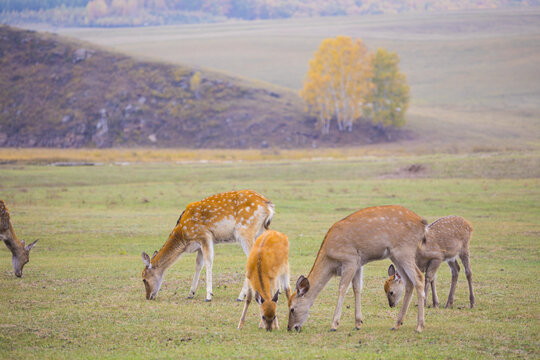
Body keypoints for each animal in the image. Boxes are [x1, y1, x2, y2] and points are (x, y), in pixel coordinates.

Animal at [141, 190, 274, 302]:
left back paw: (241, 296)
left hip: (245, 231)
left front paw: (208, 296)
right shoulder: (199, 245)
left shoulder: (205, 236)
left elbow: (208, 262)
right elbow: (198, 264)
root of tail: (268, 206)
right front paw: (190, 294)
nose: (148, 297)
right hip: (261, 231)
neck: (184, 236)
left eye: (144, 279)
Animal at [288, 205, 428, 332]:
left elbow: (343, 288)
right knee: (409, 282)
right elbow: (357, 288)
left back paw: (419, 326)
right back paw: (397, 324)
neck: (330, 258)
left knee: (419, 278)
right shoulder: (358, 264)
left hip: (404, 250)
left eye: (292, 308)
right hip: (395, 255)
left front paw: (334, 324)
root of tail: (423, 224)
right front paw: (358, 323)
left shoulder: (350, 260)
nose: (290, 327)